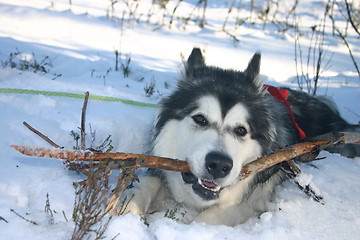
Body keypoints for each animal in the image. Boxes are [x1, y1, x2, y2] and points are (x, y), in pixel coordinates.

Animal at [116, 48, 358, 225]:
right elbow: (146, 185)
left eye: (241, 130)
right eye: (200, 119)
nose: (219, 165)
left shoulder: (249, 200)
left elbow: (208, 219)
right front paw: (125, 209)